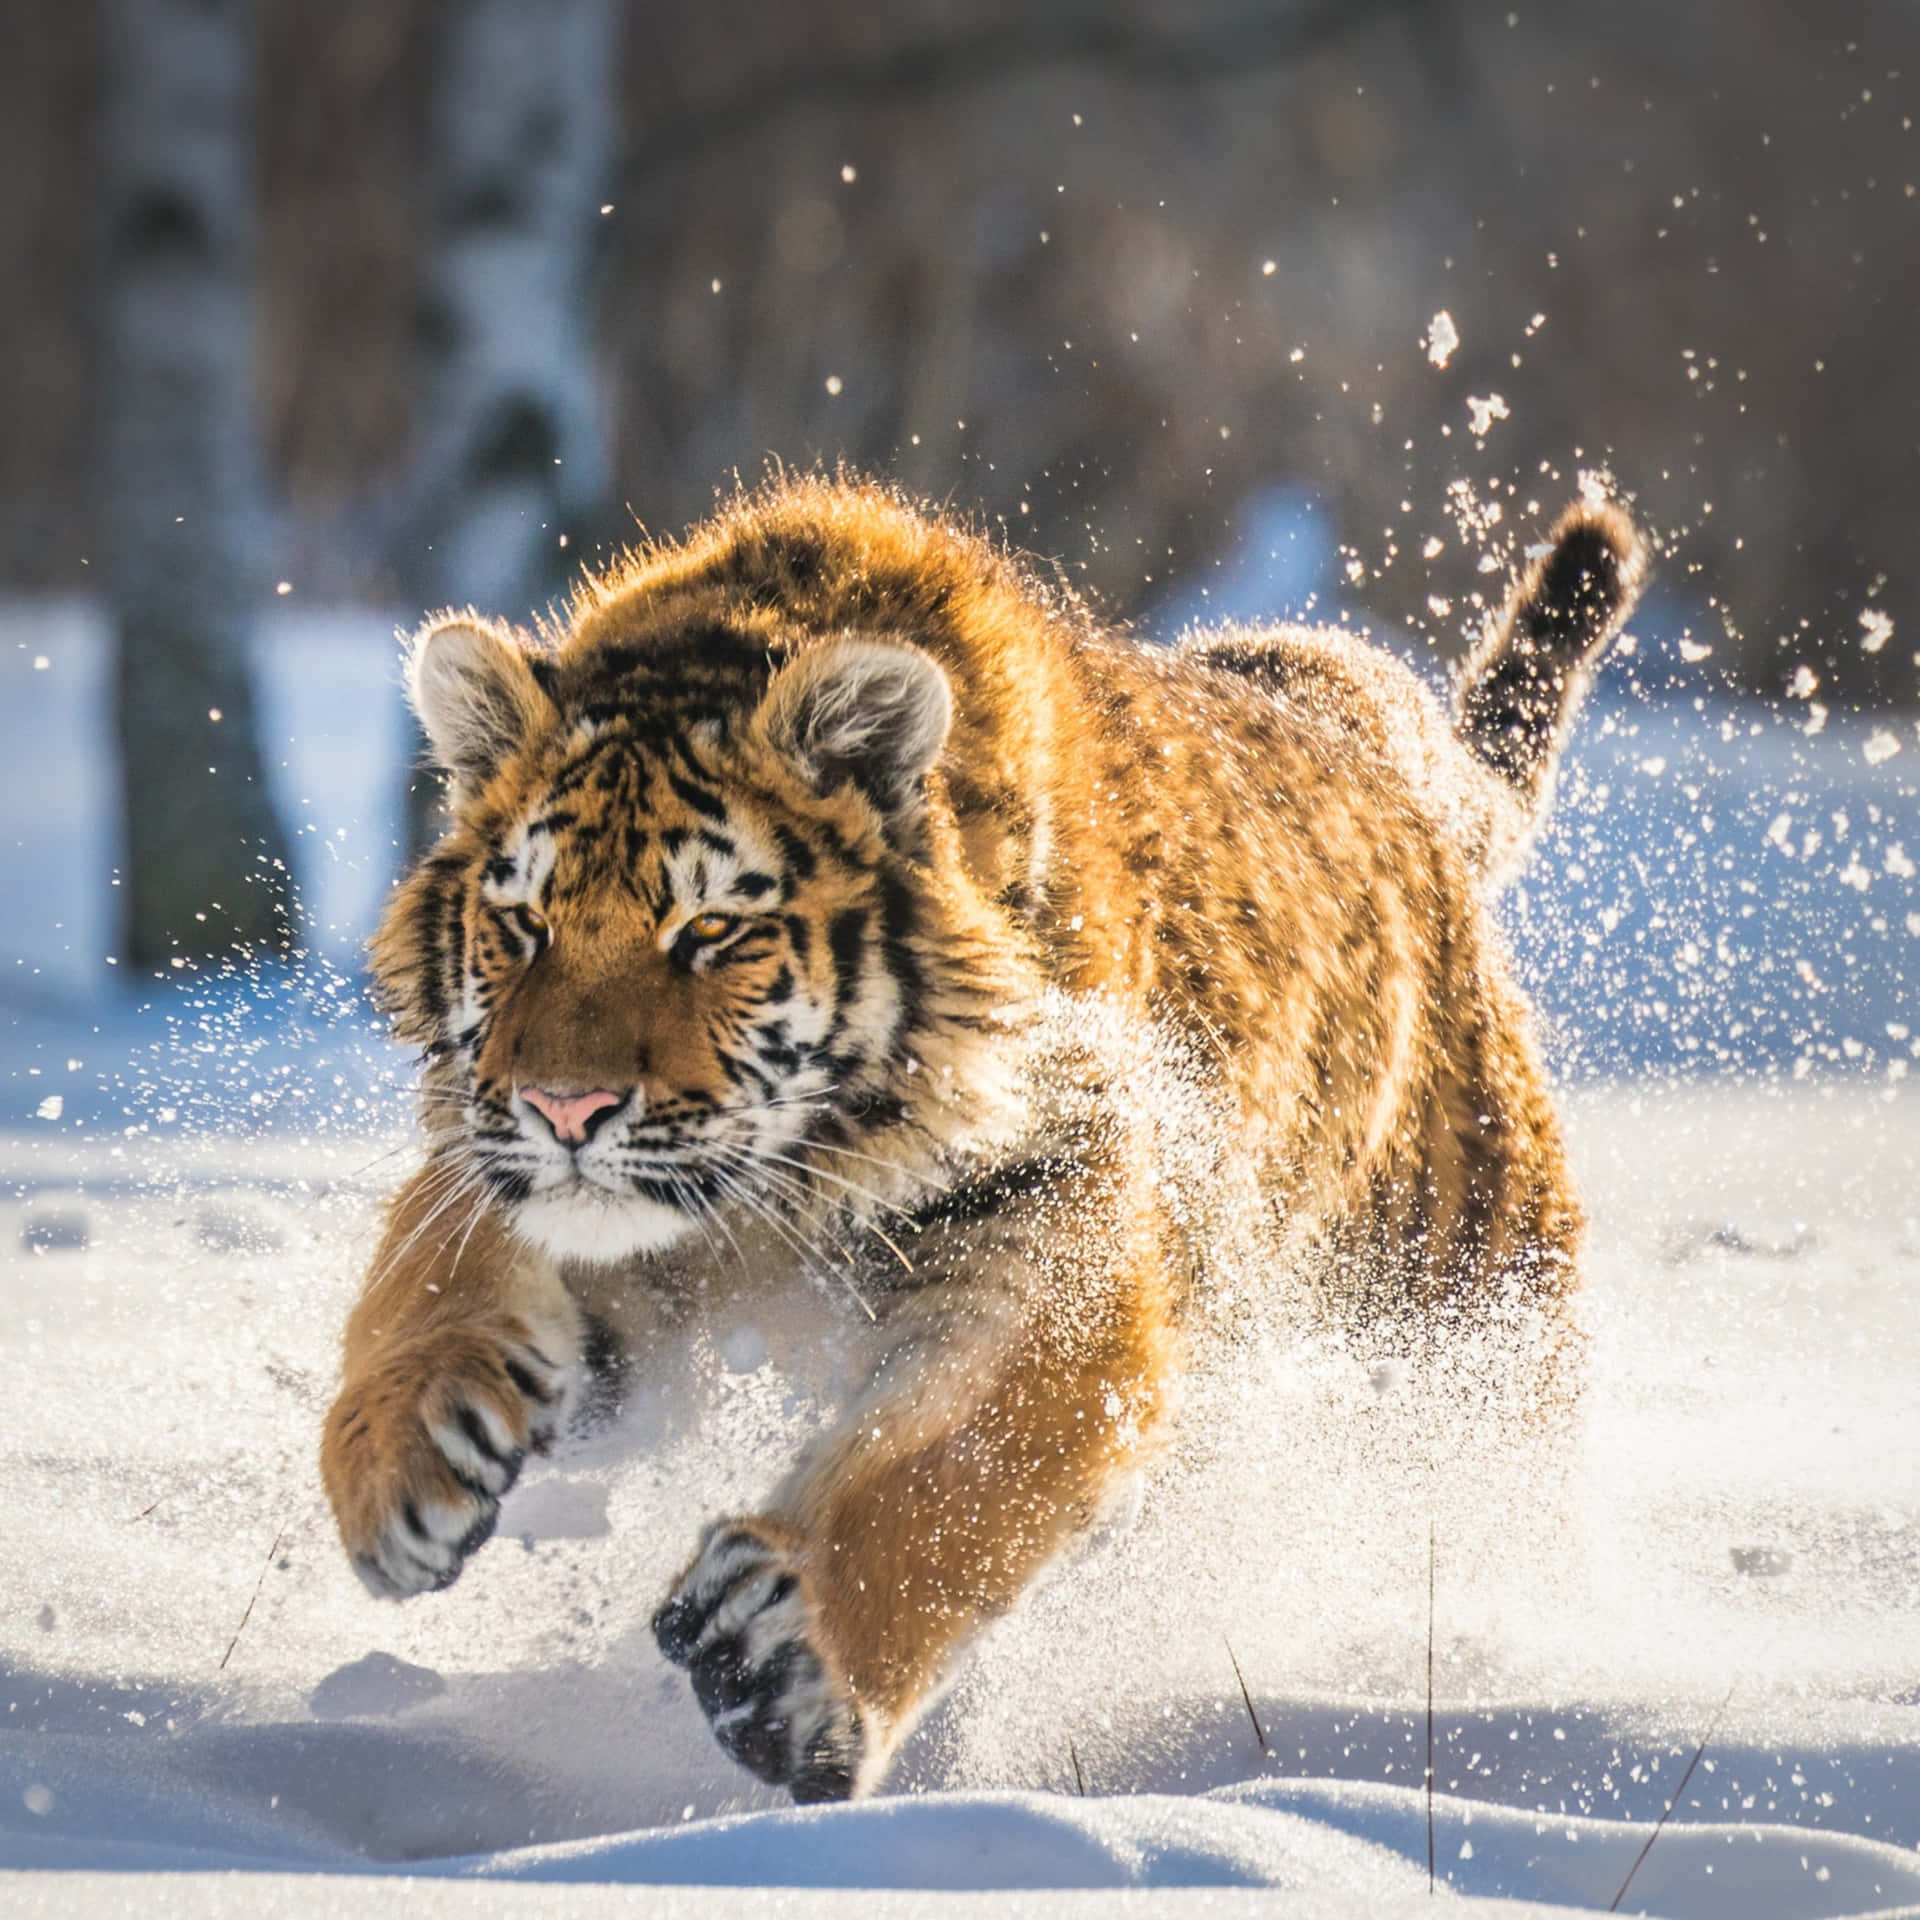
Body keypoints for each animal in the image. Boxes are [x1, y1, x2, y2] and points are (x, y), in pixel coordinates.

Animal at [319, 475, 1646, 1802]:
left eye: (710, 931)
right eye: (522, 922)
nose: (566, 1109)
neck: (782, 1188)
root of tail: (1390, 750)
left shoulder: (1057, 1246)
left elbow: (953, 1474)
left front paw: (784, 1661)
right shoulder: (539, 1181)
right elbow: (427, 1271)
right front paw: (397, 1466)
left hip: (1466, 1329)